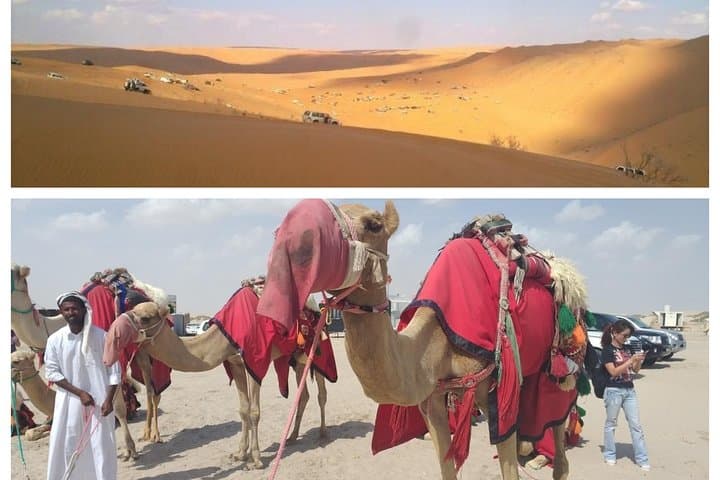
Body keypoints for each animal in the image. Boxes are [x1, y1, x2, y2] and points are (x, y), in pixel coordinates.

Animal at [10, 264, 164, 460]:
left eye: (17, 362)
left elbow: (118, 407)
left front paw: (130, 450)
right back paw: (146, 433)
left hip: (147, 347)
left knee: (153, 390)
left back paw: (155, 435)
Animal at [261, 200, 585, 480]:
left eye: (374, 224)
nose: (299, 235)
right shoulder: (432, 400)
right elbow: (447, 468)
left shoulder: (498, 390)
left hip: (558, 370)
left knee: (560, 443)